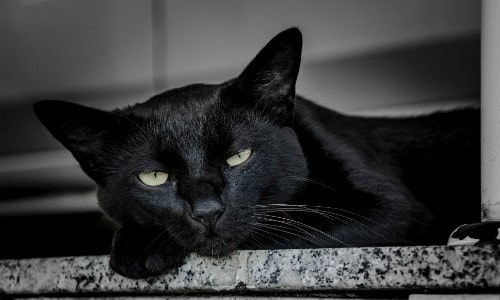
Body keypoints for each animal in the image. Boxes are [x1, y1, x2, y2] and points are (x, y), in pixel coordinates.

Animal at [33, 28, 478, 278]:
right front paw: (136, 244)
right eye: (154, 177)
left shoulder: (391, 209)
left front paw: (144, 250)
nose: (207, 211)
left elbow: (277, 229)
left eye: (238, 156)